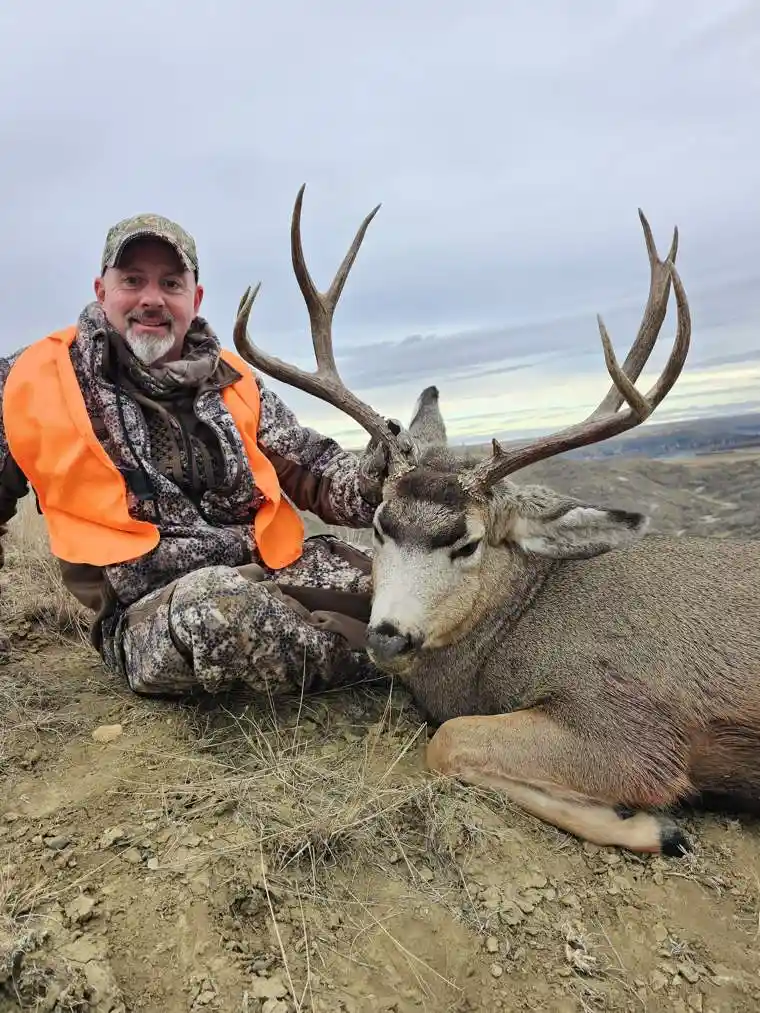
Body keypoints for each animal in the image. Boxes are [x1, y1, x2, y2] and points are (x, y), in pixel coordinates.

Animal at [231, 184, 760, 857]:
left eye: (468, 543)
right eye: (378, 522)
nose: (388, 635)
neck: (518, 622)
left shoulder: (632, 723)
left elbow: (448, 739)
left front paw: (649, 824)